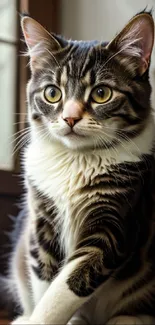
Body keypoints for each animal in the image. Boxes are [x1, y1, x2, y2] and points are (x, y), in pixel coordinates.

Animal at [9, 10, 155, 324]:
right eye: (52, 93)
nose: (70, 118)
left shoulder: (116, 221)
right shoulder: (43, 221)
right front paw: (36, 316)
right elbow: (45, 281)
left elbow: (67, 286)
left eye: (101, 93)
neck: (77, 159)